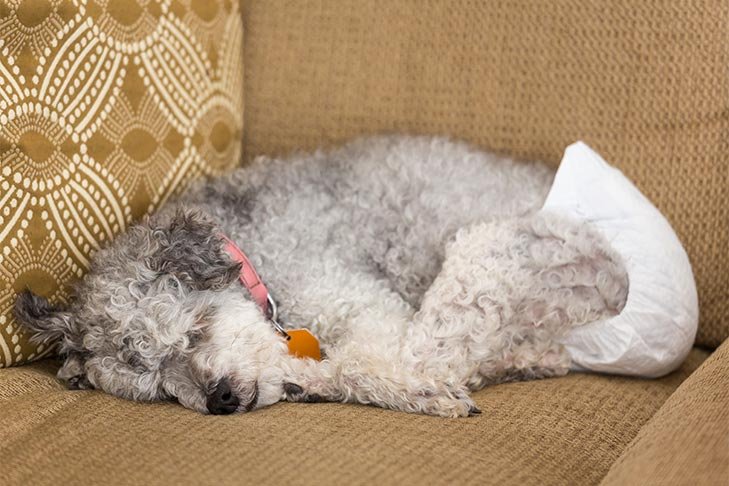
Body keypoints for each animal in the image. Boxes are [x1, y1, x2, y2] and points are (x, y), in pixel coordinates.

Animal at [12, 136, 624, 418]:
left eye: (196, 330)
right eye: (160, 388)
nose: (220, 399)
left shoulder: (363, 303)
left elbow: (359, 363)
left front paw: (422, 389)